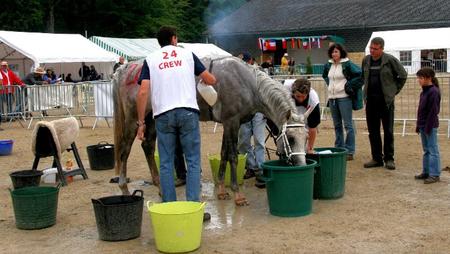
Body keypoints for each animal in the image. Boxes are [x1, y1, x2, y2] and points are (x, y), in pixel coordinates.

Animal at [113, 56, 310, 206]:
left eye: (306, 137)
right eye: (291, 138)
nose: (301, 164)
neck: (248, 83)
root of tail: (126, 68)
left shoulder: (228, 124)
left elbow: (223, 154)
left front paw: (222, 190)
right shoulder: (232, 122)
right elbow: (232, 156)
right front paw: (238, 195)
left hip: (154, 119)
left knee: (147, 146)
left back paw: (160, 187)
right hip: (133, 121)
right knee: (124, 151)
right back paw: (124, 188)